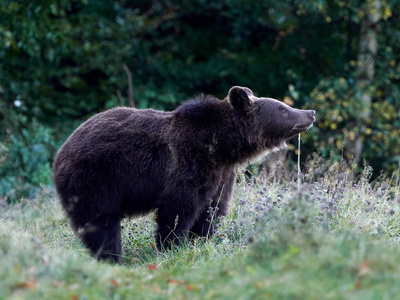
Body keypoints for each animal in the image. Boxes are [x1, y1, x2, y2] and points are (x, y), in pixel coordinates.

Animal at [52, 86, 316, 262]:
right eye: (282, 108)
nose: (310, 112)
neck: (223, 146)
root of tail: (60, 152)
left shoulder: (222, 173)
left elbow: (213, 209)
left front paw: (201, 240)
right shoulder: (189, 163)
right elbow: (179, 208)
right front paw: (172, 246)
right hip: (96, 178)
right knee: (101, 222)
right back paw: (111, 257)